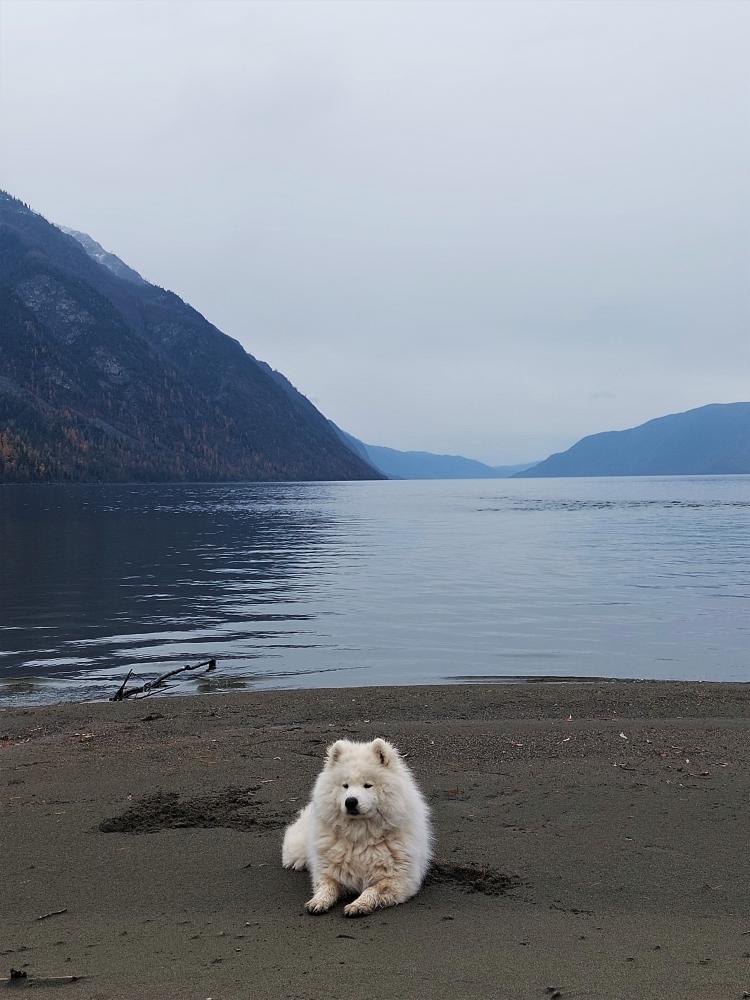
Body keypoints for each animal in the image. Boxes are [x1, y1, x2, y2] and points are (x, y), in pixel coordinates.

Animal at [282, 740, 434, 916]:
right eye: (345, 786)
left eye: (368, 785)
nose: (350, 801)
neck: (360, 834)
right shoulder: (329, 871)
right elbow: (326, 886)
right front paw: (318, 901)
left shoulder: (399, 880)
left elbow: (373, 889)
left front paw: (359, 904)